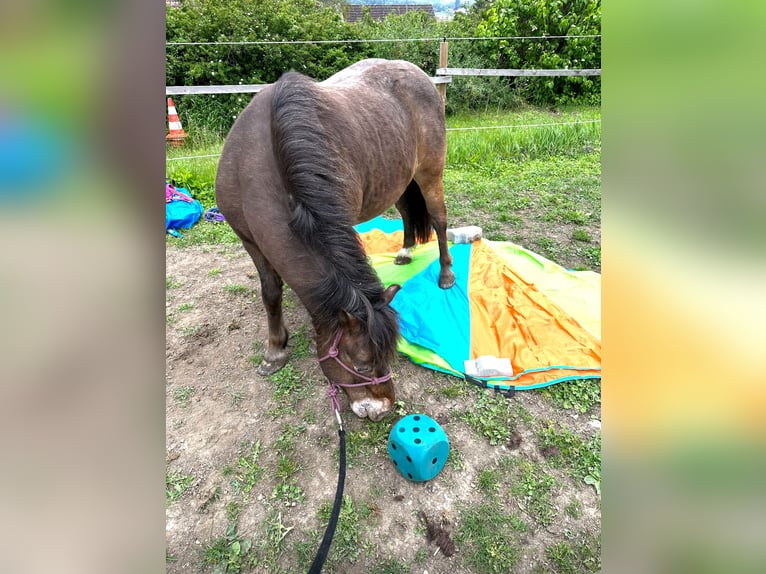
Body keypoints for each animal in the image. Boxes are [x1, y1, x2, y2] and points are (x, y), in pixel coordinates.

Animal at [216, 59, 456, 424]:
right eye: (362, 365)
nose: (384, 409)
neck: (256, 163)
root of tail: (417, 73)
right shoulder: (248, 239)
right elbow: (270, 292)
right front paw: (275, 349)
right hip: (400, 179)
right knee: (406, 211)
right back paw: (405, 250)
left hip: (430, 174)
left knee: (440, 222)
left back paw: (445, 275)